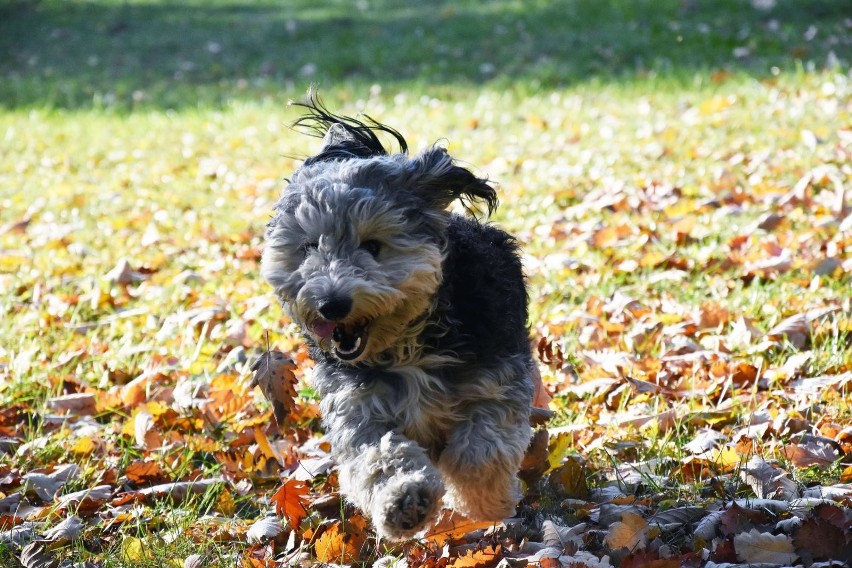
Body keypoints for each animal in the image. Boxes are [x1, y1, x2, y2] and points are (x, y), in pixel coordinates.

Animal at [262, 94, 536, 540]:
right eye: (308, 247)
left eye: (373, 245)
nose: (331, 304)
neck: (410, 344)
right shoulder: (357, 407)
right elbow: (378, 455)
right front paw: (405, 501)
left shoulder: (496, 380)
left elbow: (480, 450)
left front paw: (485, 501)